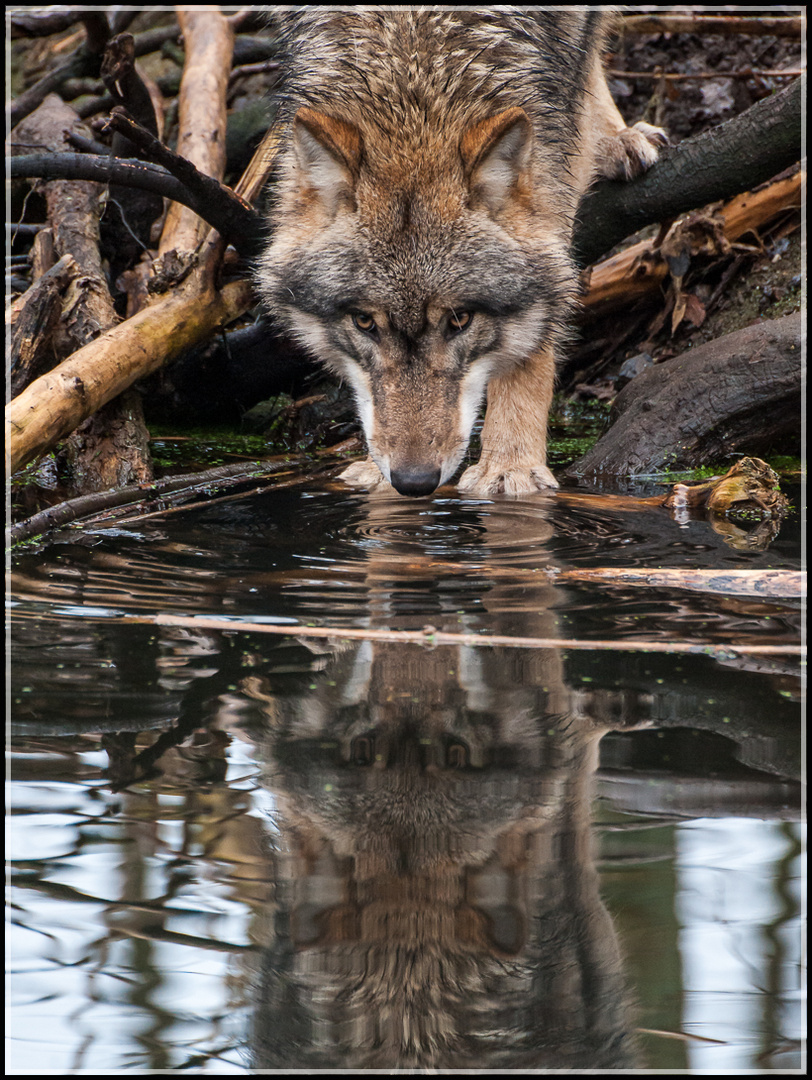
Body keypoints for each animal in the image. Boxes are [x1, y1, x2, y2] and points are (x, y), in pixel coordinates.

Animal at [256, 7, 660, 496]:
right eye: (364, 322)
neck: (413, 62)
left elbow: (532, 343)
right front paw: (375, 472)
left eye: (461, 320)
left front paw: (510, 465)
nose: (413, 481)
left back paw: (617, 139)